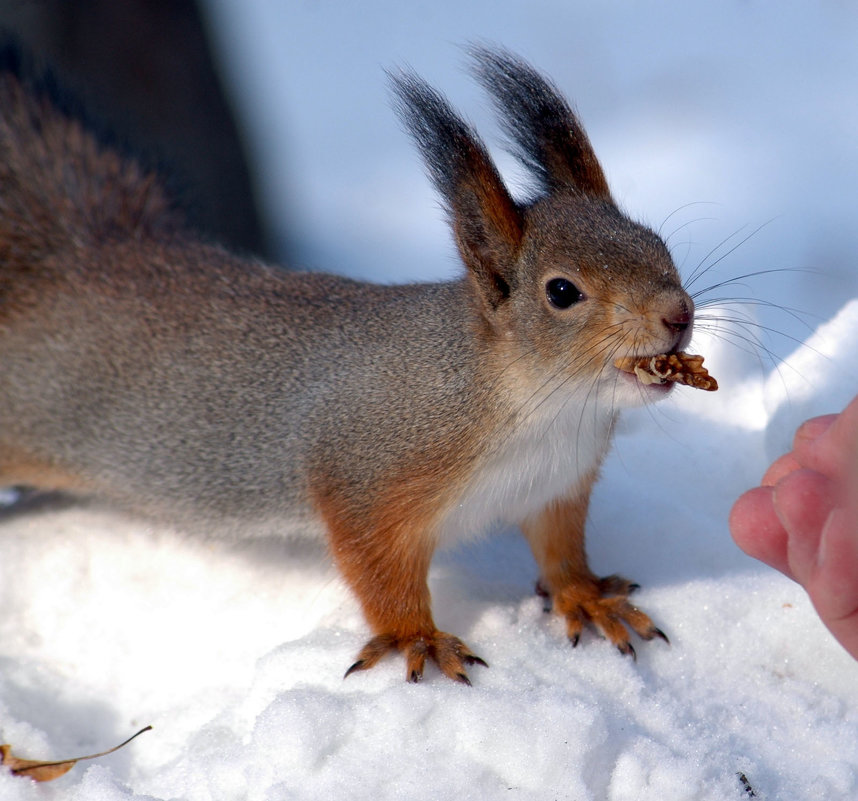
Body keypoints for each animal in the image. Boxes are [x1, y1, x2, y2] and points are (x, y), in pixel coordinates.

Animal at [0, 42, 692, 680]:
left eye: (657, 243)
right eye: (562, 292)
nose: (679, 314)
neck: (544, 405)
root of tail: (72, 269)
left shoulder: (557, 488)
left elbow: (560, 553)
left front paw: (586, 597)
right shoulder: (367, 475)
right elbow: (377, 568)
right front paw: (417, 637)